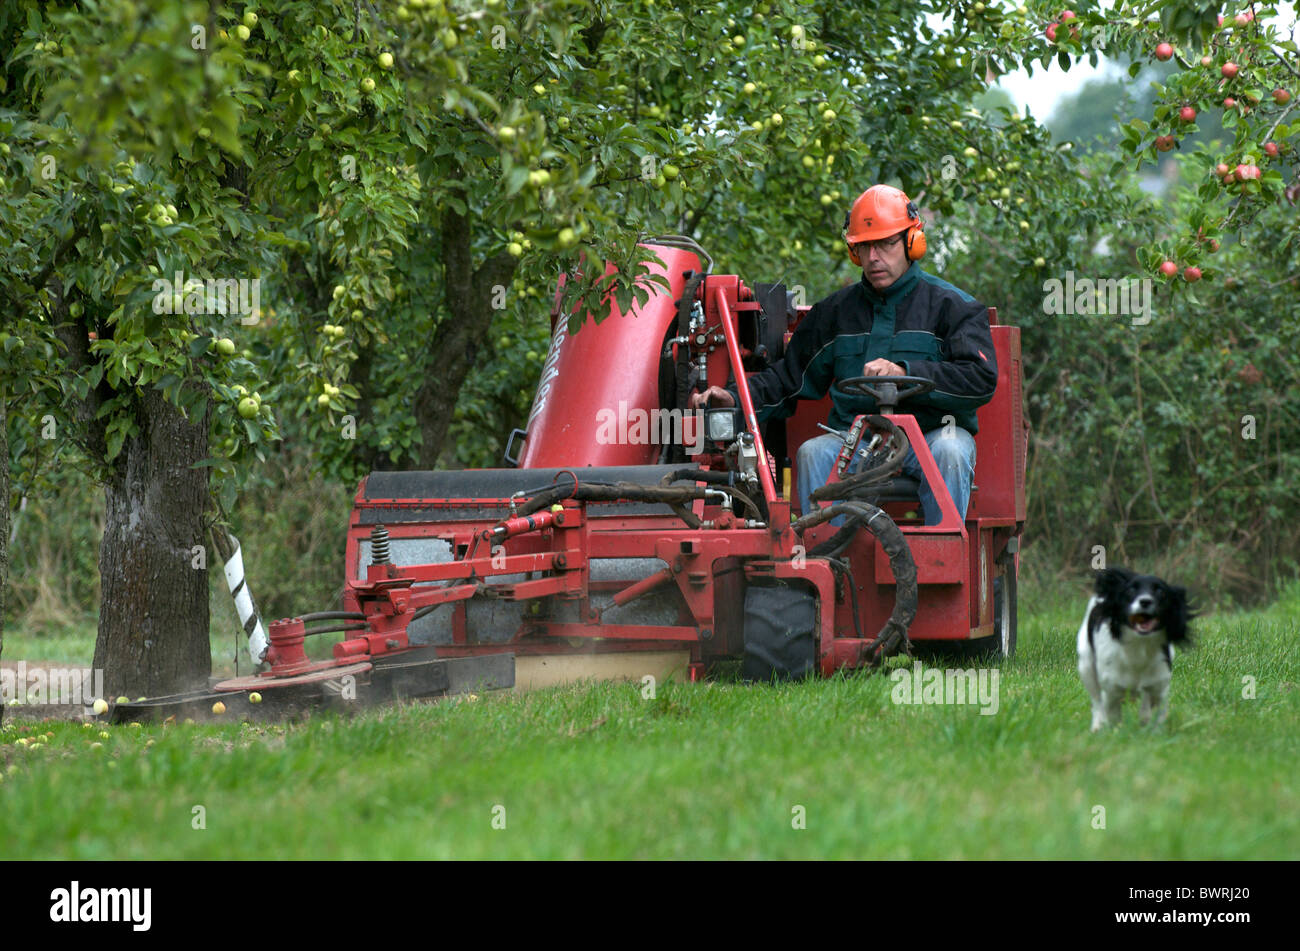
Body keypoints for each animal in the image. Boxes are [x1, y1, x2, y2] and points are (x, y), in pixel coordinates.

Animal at [1076, 569, 1190, 732]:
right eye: (1130, 590)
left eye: (1161, 591)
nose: (1145, 601)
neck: (1139, 647)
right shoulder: (1111, 690)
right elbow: (1111, 713)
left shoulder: (1159, 685)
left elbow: (1152, 709)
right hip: (1086, 666)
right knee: (1096, 702)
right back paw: (1097, 727)